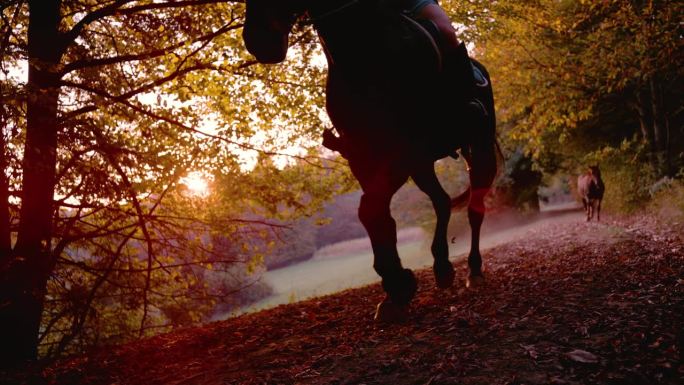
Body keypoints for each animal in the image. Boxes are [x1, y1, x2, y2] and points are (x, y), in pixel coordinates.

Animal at [243, 0, 500, 320]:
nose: (259, 41)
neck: (362, 53)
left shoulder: (400, 153)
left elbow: (370, 209)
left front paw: (399, 283)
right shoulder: (365, 158)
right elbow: (374, 214)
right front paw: (395, 287)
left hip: (478, 148)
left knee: (475, 209)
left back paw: (474, 271)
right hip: (422, 165)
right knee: (441, 202)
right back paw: (442, 267)